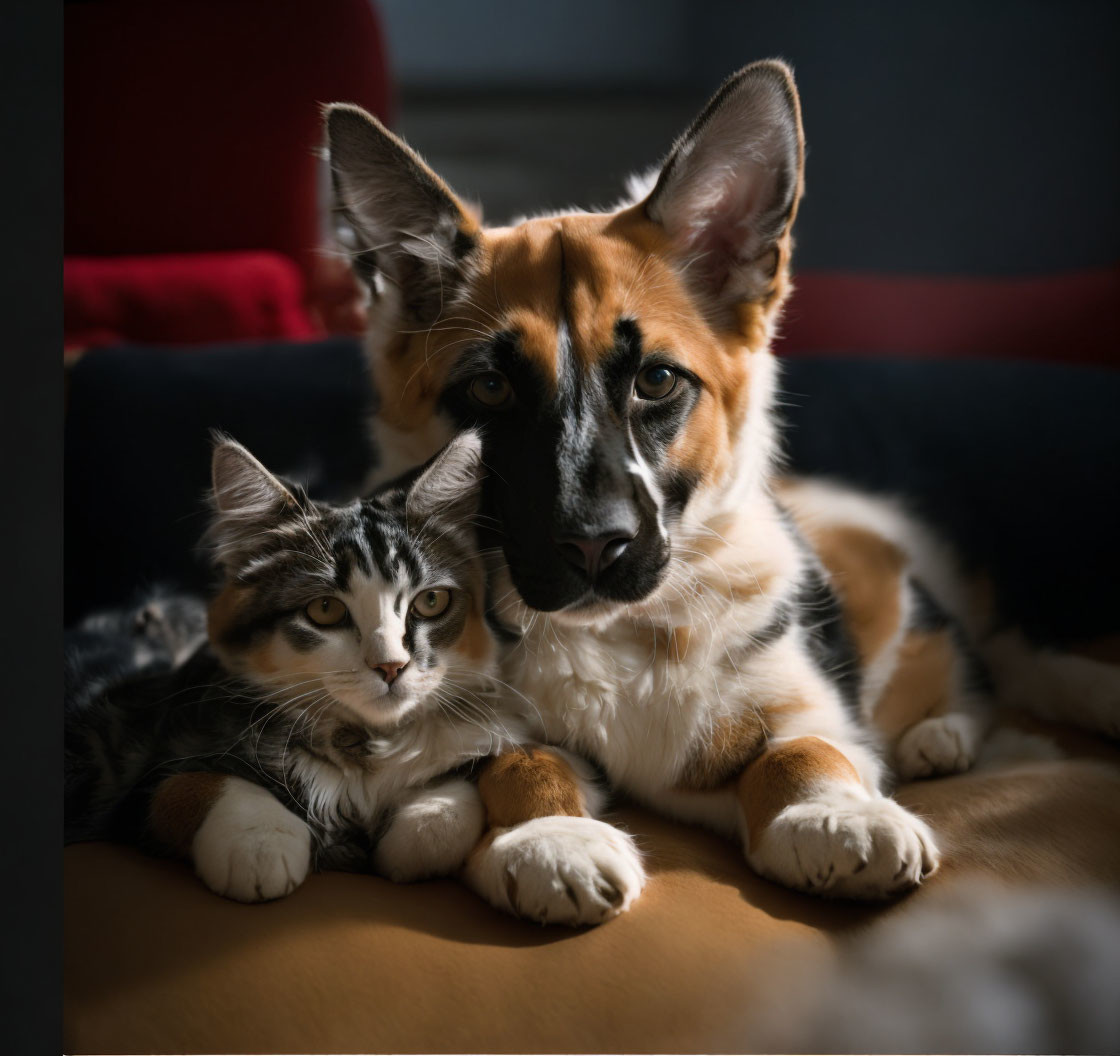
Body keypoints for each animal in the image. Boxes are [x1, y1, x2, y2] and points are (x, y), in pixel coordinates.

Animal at [67, 427, 649, 918]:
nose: (391, 666)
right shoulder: (142, 777)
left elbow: (526, 761)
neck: (367, 744)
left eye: (431, 601)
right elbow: (194, 784)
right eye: (325, 609)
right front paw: (260, 840)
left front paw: (551, 843)